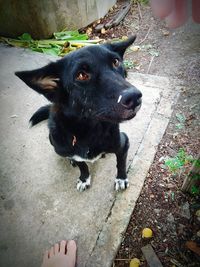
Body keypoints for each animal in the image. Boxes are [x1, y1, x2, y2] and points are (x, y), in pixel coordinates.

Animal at [15, 36, 141, 193]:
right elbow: (82, 165)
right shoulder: (69, 150)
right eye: (81, 75)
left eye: (116, 62)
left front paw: (121, 178)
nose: (135, 97)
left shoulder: (123, 144)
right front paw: (84, 178)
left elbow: (121, 163)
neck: (89, 131)